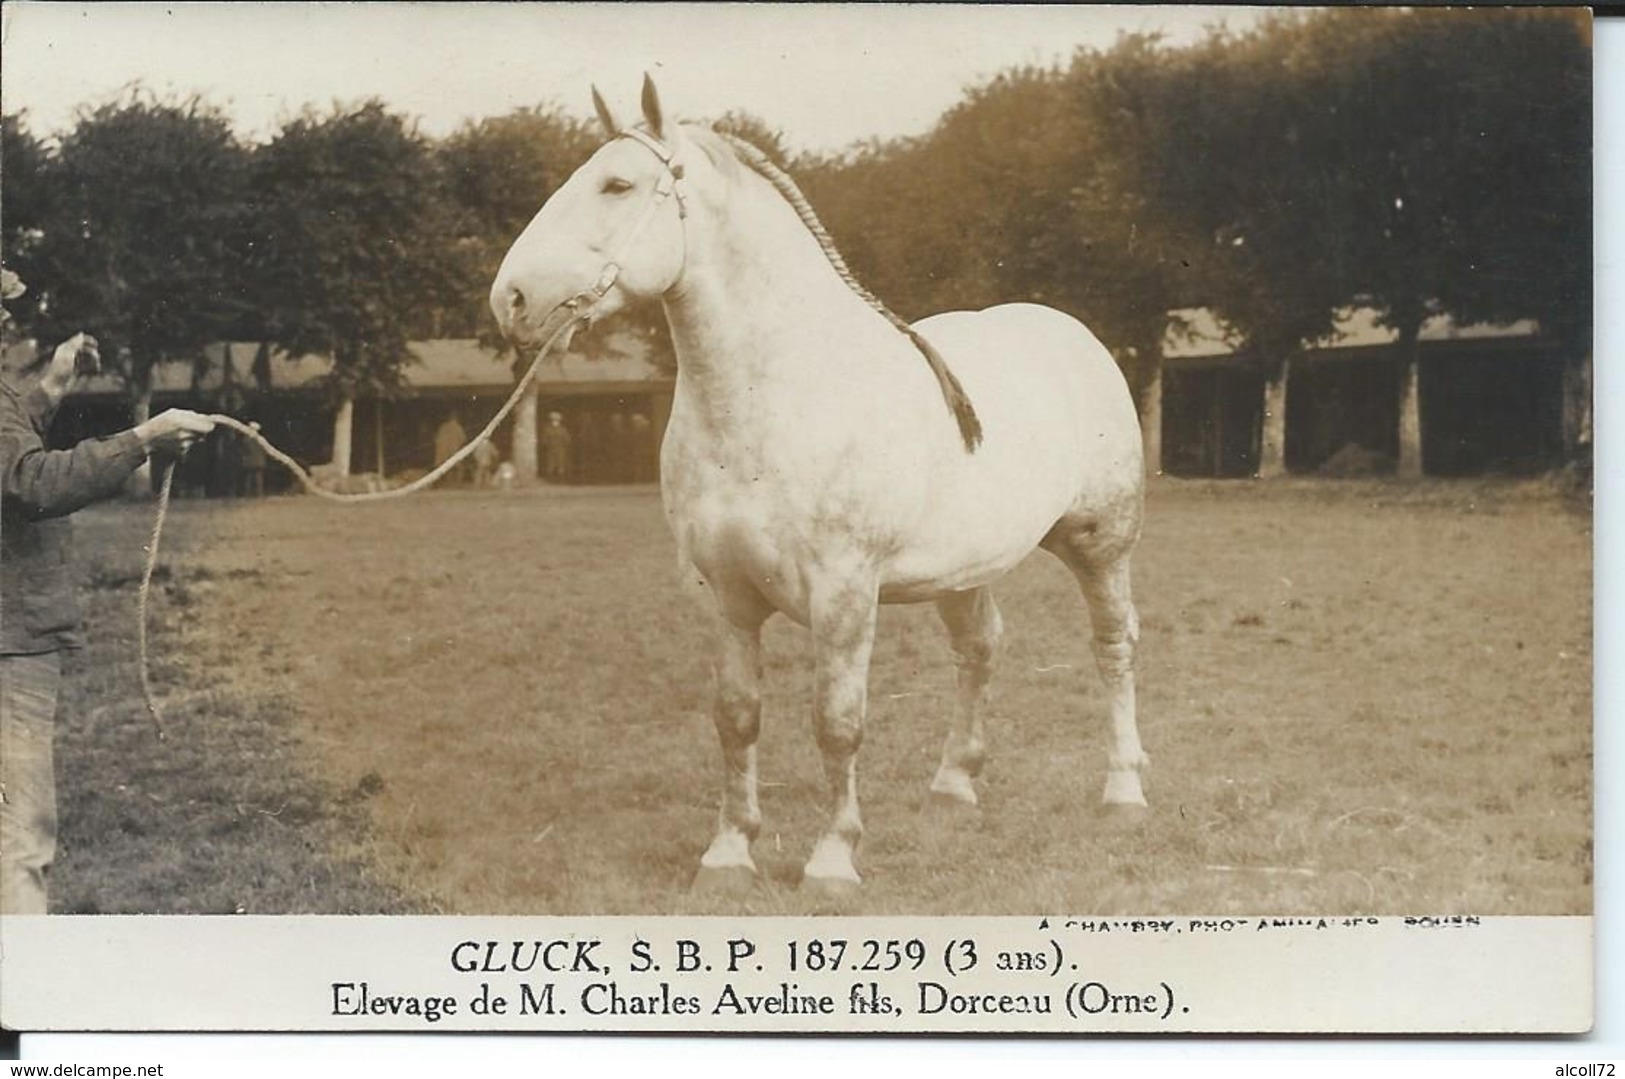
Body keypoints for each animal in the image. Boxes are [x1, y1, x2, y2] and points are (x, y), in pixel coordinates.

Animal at [487, 78, 1150, 903]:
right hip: (963, 570)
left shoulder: (843, 595)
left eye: (616, 185)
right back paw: (952, 785)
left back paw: (1123, 789)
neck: (776, 396)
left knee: (1112, 645)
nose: (510, 299)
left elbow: (837, 722)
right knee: (978, 650)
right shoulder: (727, 597)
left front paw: (832, 859)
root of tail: (1072, 334)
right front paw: (729, 851)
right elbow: (736, 717)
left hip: (1100, 545)